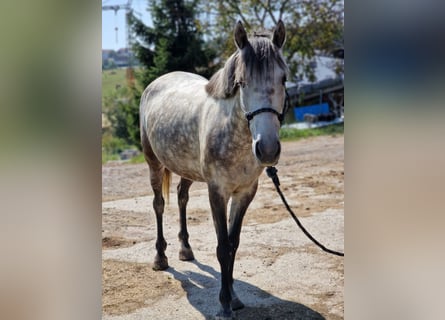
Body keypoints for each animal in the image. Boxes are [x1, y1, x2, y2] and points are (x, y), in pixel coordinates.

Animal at [140, 20, 290, 320]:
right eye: (242, 82)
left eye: (283, 79)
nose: (267, 149)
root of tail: (157, 82)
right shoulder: (217, 192)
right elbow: (222, 247)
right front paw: (224, 304)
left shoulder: (245, 193)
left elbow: (233, 244)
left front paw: (234, 297)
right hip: (154, 163)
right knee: (159, 204)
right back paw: (160, 257)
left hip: (185, 167)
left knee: (181, 197)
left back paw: (185, 249)